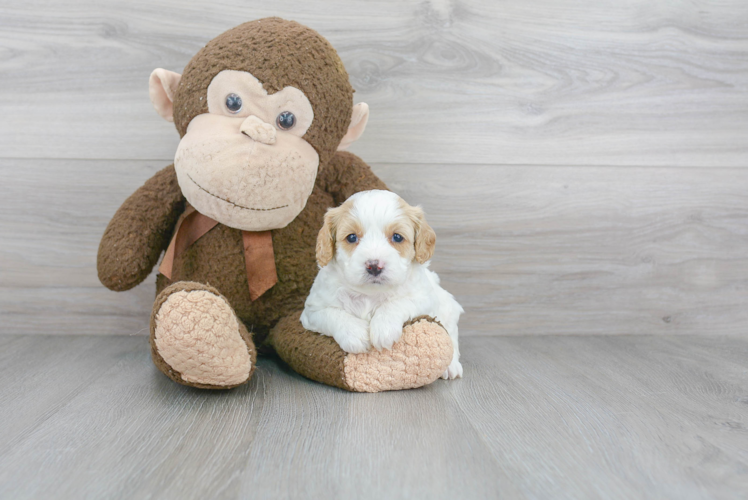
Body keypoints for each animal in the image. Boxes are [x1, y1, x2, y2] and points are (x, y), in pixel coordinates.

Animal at [300, 190, 462, 378]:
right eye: (352, 237)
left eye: (397, 237)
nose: (374, 266)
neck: (370, 293)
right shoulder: (312, 310)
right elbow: (333, 314)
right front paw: (355, 334)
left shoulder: (423, 297)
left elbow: (398, 303)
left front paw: (383, 328)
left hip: (448, 306)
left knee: (451, 333)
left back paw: (451, 366)